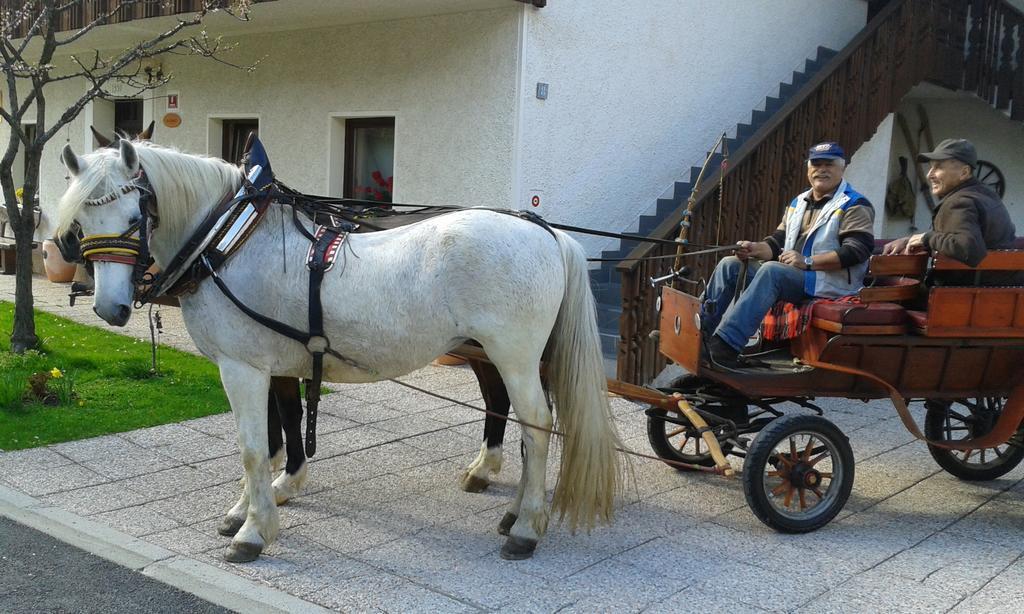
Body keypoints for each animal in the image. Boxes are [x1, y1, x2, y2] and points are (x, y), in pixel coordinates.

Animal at [61, 139, 622, 560]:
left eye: (135, 216)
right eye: (82, 223)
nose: (109, 307)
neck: (232, 241)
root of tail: (544, 232)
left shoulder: (242, 367)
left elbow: (251, 447)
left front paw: (253, 533)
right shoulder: (272, 364)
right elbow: (274, 437)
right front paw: (254, 506)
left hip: (513, 355)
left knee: (538, 425)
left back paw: (525, 528)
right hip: (506, 356)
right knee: (521, 420)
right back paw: (512, 505)